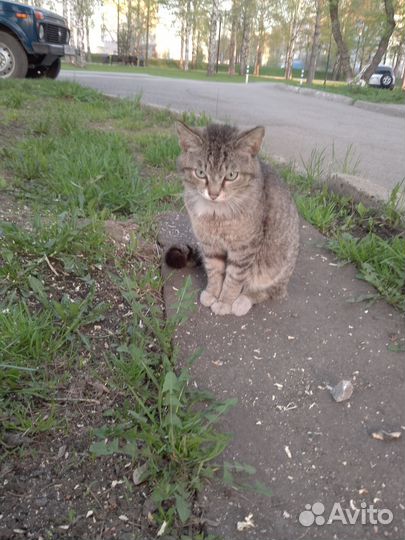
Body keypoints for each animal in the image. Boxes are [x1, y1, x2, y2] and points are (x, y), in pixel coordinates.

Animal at [165, 122, 300, 316]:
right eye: (200, 173)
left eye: (231, 176)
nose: (213, 194)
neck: (216, 214)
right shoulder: (210, 245)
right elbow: (215, 271)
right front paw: (213, 293)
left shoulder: (244, 249)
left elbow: (234, 279)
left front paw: (225, 302)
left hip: (278, 265)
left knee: (271, 291)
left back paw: (243, 300)